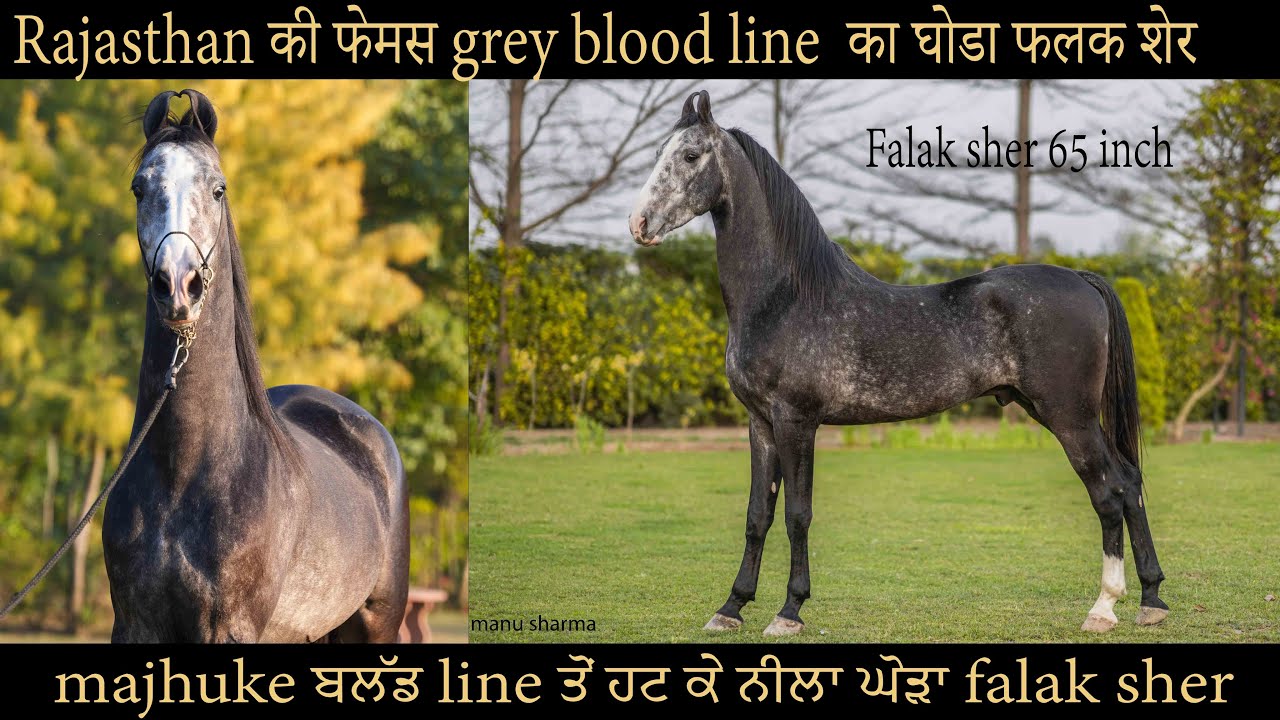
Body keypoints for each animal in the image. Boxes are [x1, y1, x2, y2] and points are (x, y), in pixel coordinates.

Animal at [102, 89, 409, 642]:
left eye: (218, 189)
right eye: (139, 188)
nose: (177, 286)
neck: (183, 473)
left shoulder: (231, 628)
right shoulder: (135, 624)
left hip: (378, 622)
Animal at [627, 90, 1169, 637]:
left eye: (691, 155)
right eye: (660, 152)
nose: (639, 224)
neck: (785, 296)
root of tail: (1083, 279)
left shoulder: (796, 421)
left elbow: (798, 514)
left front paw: (790, 611)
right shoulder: (759, 422)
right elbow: (758, 514)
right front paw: (731, 607)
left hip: (1069, 418)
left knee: (1110, 493)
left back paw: (1104, 607)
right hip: (1056, 413)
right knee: (1131, 482)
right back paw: (1151, 600)